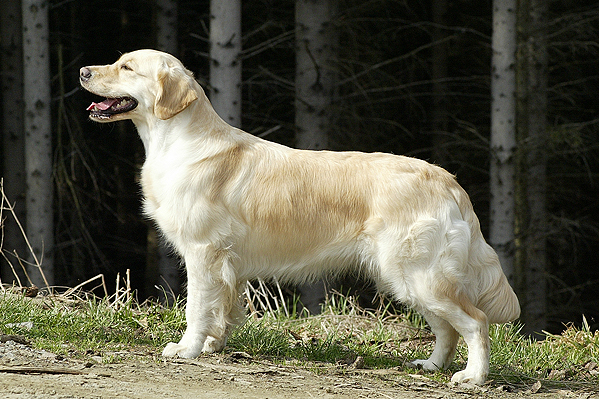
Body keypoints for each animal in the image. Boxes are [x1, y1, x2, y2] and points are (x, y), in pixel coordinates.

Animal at [80, 49, 520, 385]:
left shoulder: (202, 251)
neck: (176, 141)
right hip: (409, 278)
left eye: (127, 67)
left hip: (418, 273)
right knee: (446, 327)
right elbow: (223, 309)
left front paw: (187, 349)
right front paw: (214, 345)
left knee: (476, 321)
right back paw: (430, 365)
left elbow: (197, 308)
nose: (83, 71)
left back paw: (473, 377)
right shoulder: (227, 262)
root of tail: (447, 180)